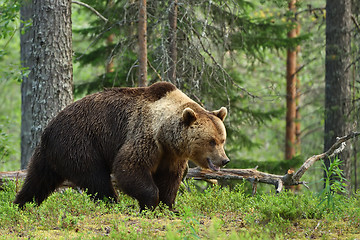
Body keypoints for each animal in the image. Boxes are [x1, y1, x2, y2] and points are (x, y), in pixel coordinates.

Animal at [14, 81, 229, 211]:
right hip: (79, 143)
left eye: (222, 139)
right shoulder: (145, 135)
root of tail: (49, 128)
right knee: (95, 177)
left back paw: (20, 204)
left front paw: (168, 206)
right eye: (211, 141)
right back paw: (114, 203)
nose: (224, 160)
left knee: (37, 180)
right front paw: (150, 203)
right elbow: (129, 166)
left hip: (50, 155)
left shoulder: (171, 155)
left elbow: (170, 178)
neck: (164, 132)